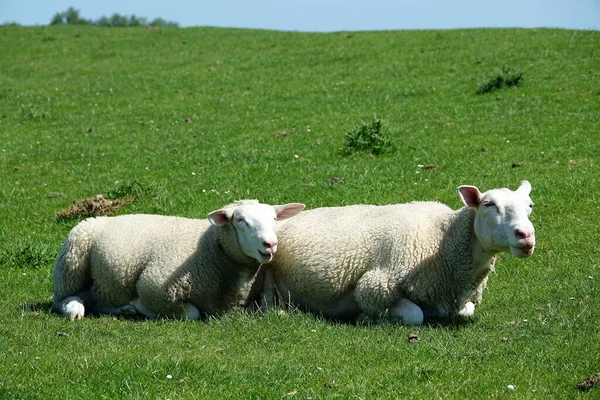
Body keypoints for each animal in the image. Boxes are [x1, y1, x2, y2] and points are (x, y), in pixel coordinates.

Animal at [52, 202, 304, 320]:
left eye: (274, 218)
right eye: (240, 220)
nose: (270, 244)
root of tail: (102, 218)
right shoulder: (154, 286)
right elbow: (192, 313)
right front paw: (141, 307)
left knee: (95, 298)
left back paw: (123, 309)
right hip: (72, 259)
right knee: (64, 299)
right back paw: (76, 309)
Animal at [264, 181, 536, 324]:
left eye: (530, 206)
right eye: (488, 205)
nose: (526, 235)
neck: (443, 240)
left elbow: (466, 309)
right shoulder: (375, 287)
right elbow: (415, 314)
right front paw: (366, 317)